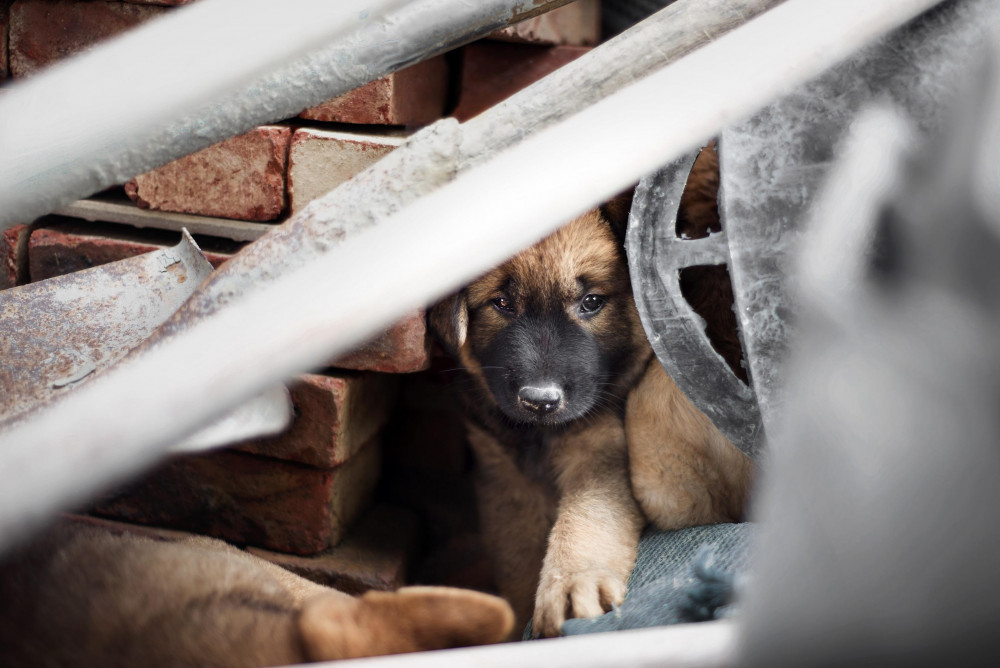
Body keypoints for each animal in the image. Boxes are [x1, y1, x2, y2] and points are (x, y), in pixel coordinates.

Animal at [429, 145, 754, 638]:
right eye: (502, 304)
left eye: (591, 303)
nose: (540, 400)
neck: (539, 437)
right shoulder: (503, 474)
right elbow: (518, 557)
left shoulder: (600, 445)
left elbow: (589, 514)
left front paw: (572, 583)